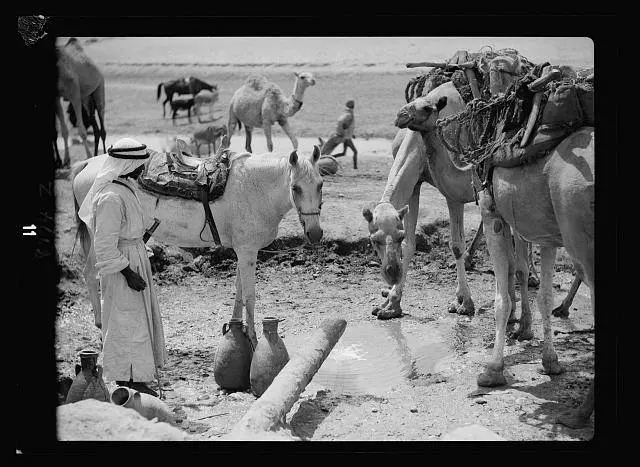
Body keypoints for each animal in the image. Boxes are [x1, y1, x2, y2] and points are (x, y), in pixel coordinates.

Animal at [56, 37, 106, 166]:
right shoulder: (56, 96)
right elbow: (64, 130)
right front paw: (66, 160)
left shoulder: (74, 93)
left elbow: (82, 129)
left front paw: (88, 156)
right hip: (87, 98)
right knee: (96, 128)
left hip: (99, 88)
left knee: (102, 126)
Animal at [71, 143, 324, 347]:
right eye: (295, 188)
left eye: (320, 185)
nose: (315, 233)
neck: (255, 187)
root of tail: (87, 163)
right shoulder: (248, 252)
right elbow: (250, 296)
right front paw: (252, 338)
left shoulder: (244, 251)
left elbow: (239, 291)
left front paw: (236, 328)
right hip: (102, 238)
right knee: (92, 274)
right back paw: (101, 327)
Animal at [394, 84, 595, 428]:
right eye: (414, 102)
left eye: (427, 107)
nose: (400, 115)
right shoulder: (545, 233)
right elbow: (539, 292)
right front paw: (549, 360)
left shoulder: (493, 215)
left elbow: (504, 294)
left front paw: (492, 370)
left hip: (581, 234)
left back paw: (579, 413)